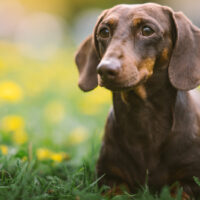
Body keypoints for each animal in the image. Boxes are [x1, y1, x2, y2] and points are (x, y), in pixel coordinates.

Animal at [74, 3, 200, 198]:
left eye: (147, 30)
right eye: (104, 31)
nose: (105, 69)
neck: (143, 117)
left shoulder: (190, 179)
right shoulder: (109, 177)